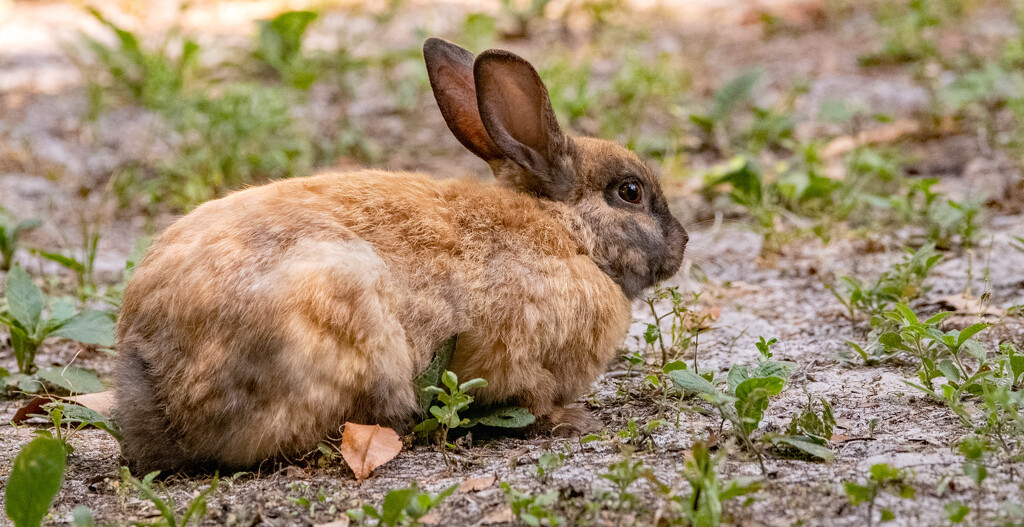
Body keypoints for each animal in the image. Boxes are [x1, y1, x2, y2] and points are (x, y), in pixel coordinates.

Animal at [114, 39, 688, 472]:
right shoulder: (515, 360)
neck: (568, 232)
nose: (683, 244)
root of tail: (156, 379)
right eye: (630, 192)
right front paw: (574, 421)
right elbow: (532, 397)